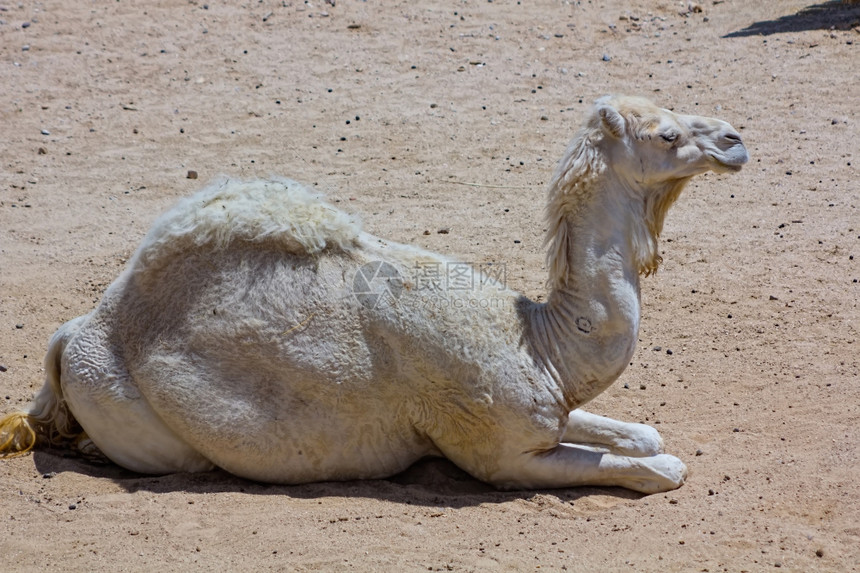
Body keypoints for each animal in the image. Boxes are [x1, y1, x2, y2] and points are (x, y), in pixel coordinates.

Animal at [0, 95, 744, 492]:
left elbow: (643, 433)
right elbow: (662, 467)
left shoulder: (549, 412)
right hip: (140, 422)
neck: (542, 342)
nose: (736, 139)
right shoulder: (500, 453)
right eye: (667, 133)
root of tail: (77, 330)